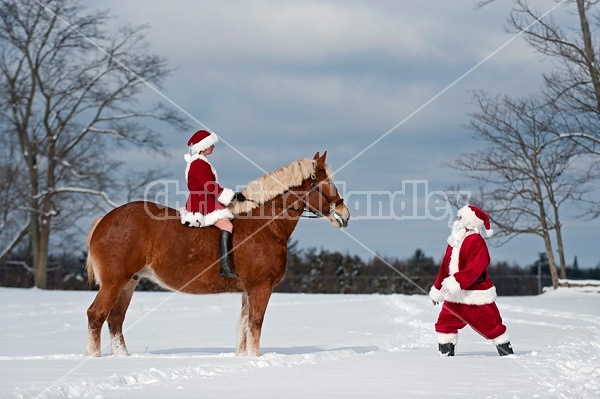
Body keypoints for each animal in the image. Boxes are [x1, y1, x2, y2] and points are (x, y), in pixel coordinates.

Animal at [83, 152, 346, 356]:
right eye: (327, 183)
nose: (344, 214)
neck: (265, 224)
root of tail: (105, 220)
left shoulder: (248, 290)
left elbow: (244, 328)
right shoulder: (261, 287)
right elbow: (255, 325)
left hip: (129, 282)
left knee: (115, 319)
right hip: (114, 282)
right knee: (96, 315)